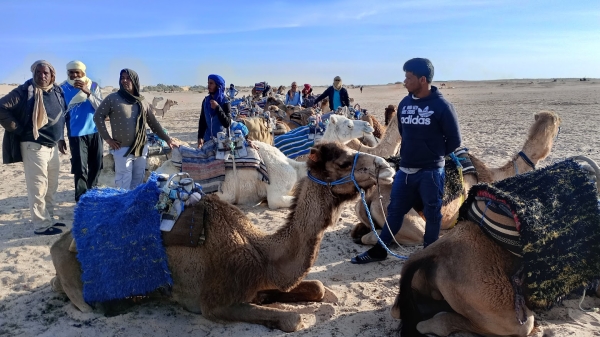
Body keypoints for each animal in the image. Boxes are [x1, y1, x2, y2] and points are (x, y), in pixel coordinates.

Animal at [49, 141, 396, 330]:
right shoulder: (214, 303)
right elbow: (292, 320)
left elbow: (319, 288)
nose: (387, 167)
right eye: (344, 161)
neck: (262, 253)